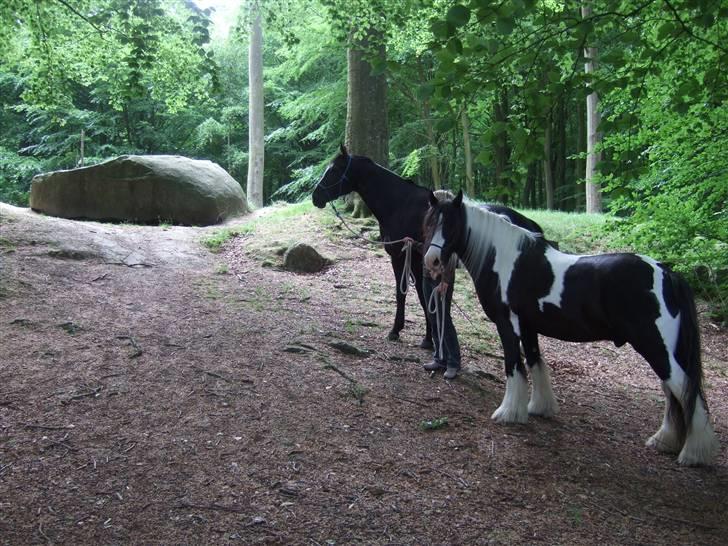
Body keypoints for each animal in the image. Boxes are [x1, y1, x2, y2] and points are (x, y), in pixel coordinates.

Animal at [310, 144, 544, 348]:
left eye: (333, 170)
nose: (315, 196)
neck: (400, 205)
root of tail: (529, 226)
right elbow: (423, 298)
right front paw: (427, 338)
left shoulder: (403, 257)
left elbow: (408, 295)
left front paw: (403, 333)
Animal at [424, 188, 720, 464]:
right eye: (430, 222)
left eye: (451, 224)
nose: (432, 261)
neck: (506, 259)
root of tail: (668, 274)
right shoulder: (529, 327)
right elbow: (534, 362)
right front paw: (539, 408)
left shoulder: (508, 325)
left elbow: (513, 365)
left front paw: (508, 412)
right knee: (673, 393)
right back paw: (664, 441)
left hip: (656, 346)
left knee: (686, 391)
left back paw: (694, 453)